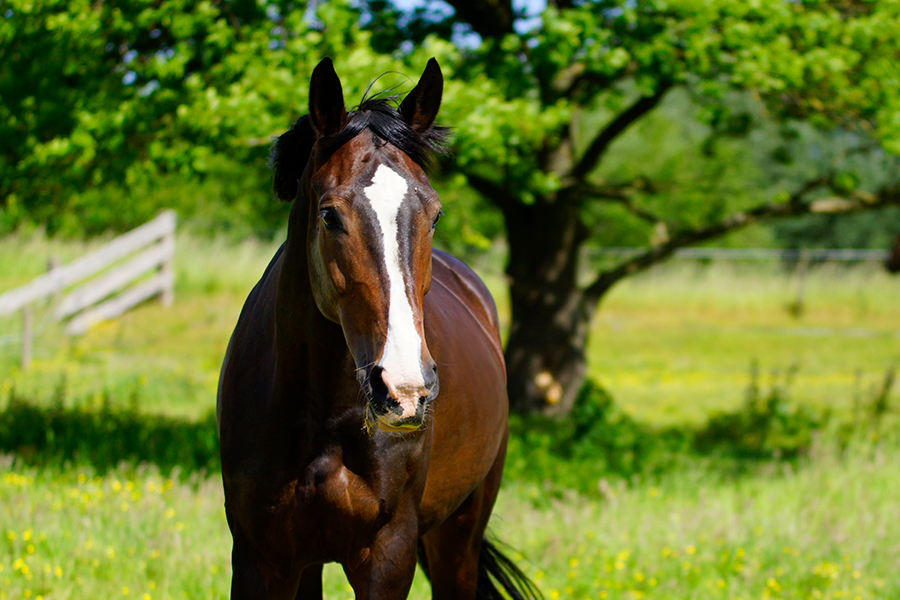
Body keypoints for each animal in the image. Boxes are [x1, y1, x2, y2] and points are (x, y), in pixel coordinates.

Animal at [218, 57, 540, 600]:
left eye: (435, 214)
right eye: (329, 215)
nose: (404, 389)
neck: (323, 420)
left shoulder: (388, 554)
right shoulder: (263, 558)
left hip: (460, 536)